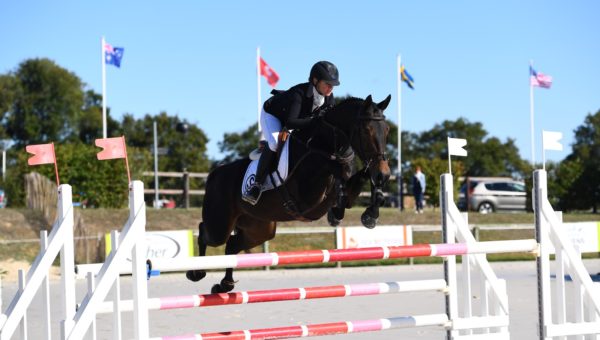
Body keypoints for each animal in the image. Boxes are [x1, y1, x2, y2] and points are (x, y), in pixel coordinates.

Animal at [188, 93, 394, 292]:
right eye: (366, 130)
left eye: (387, 131)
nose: (383, 174)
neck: (325, 144)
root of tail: (215, 174)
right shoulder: (308, 197)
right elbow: (339, 179)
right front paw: (337, 214)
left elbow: (360, 179)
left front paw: (370, 214)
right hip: (220, 224)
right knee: (205, 232)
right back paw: (196, 273)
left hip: (259, 228)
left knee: (232, 245)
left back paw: (225, 284)